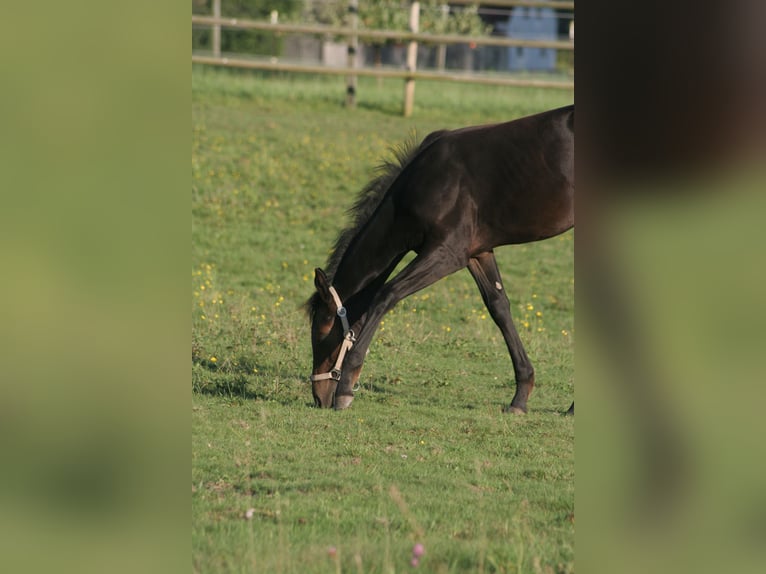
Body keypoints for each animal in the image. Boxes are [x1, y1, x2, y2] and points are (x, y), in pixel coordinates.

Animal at [306, 106, 576, 412]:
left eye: (321, 332)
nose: (319, 398)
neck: (425, 183)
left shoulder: (447, 253)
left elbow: (388, 294)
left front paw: (346, 389)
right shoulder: (476, 253)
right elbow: (499, 308)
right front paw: (520, 396)